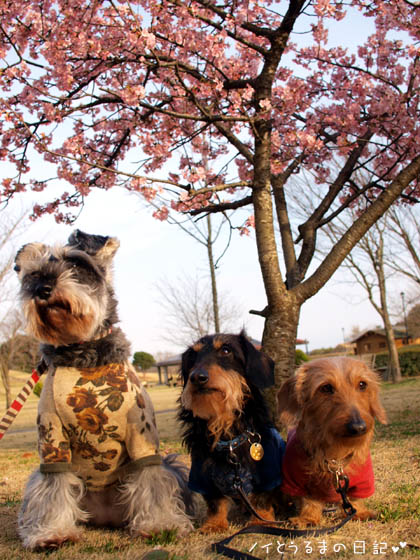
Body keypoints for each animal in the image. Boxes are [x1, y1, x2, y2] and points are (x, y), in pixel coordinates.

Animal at [13, 230, 194, 548]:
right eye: (33, 273)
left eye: (76, 264)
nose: (42, 289)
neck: (83, 354)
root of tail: (106, 516)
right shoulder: (52, 439)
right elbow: (53, 488)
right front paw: (52, 533)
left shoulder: (142, 435)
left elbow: (152, 481)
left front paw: (161, 525)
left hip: (171, 465)